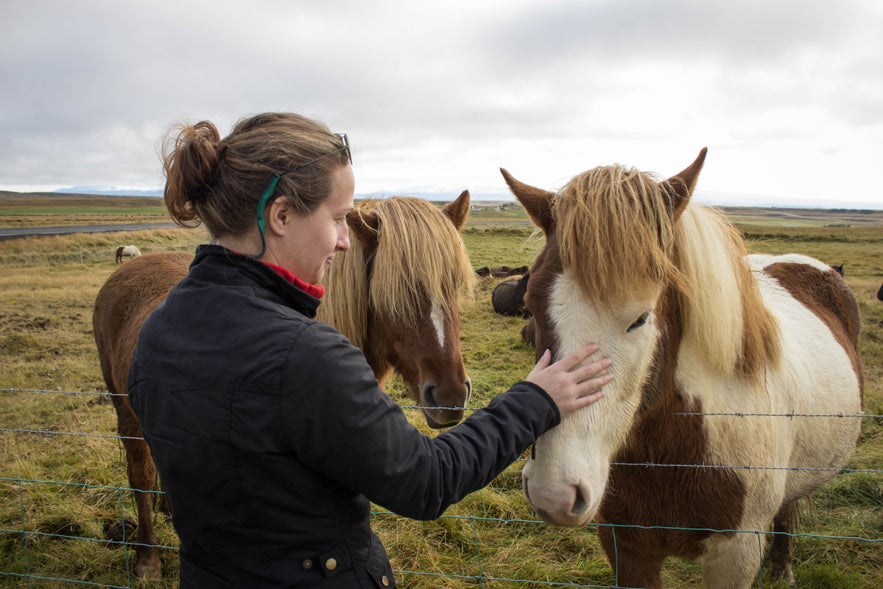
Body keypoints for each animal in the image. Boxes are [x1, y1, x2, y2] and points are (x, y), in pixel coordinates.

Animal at [504, 152, 864, 588]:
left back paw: (782, 568)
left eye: (641, 318)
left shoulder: (736, 556)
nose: (554, 493)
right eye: (531, 304)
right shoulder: (626, 546)